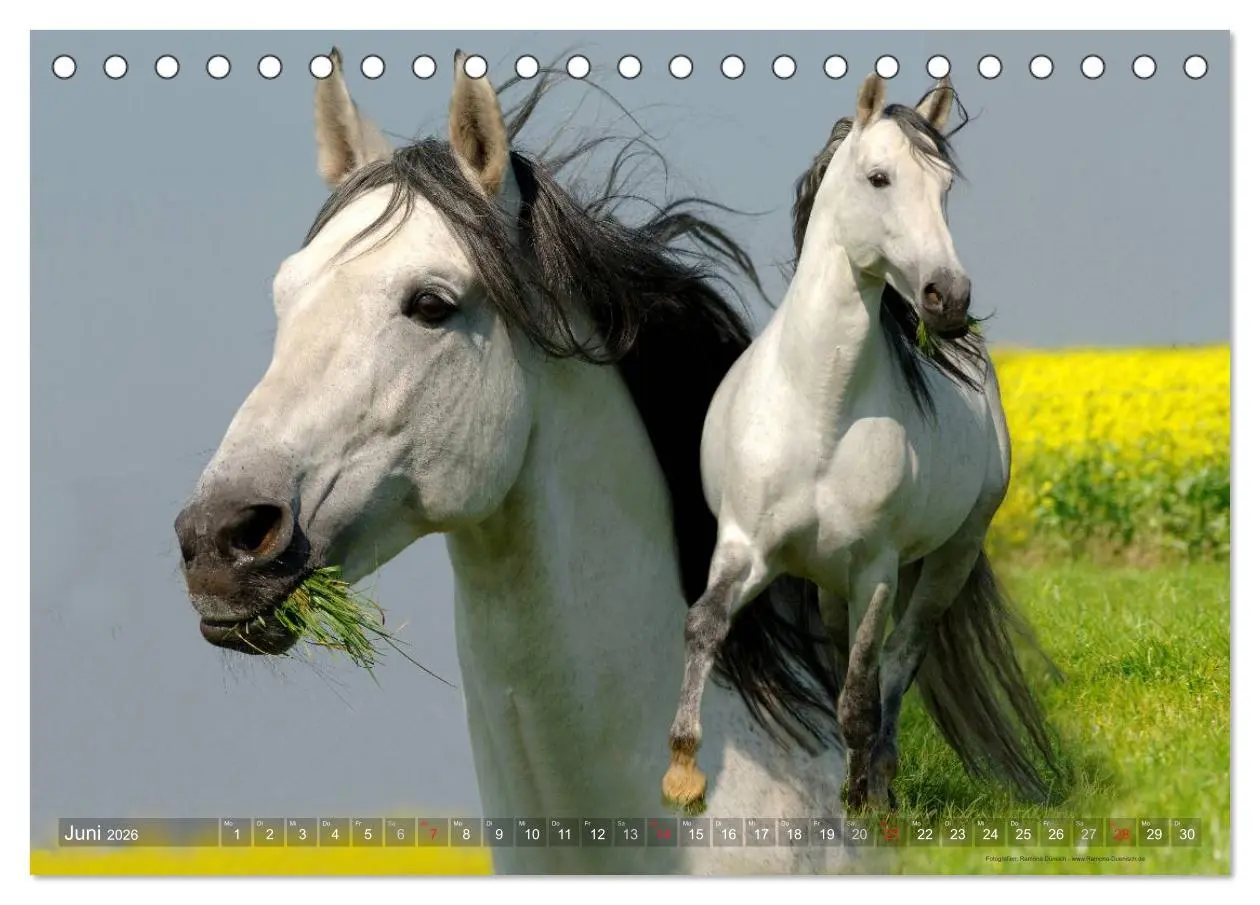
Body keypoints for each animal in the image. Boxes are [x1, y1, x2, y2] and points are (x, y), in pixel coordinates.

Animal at [662, 74, 1060, 815]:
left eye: (944, 186)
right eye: (879, 178)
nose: (948, 298)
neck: (821, 409)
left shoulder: (876, 567)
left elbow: (859, 691)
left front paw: (862, 800)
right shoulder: (747, 544)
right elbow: (706, 624)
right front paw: (682, 772)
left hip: (949, 557)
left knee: (897, 661)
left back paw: (882, 777)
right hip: (828, 582)